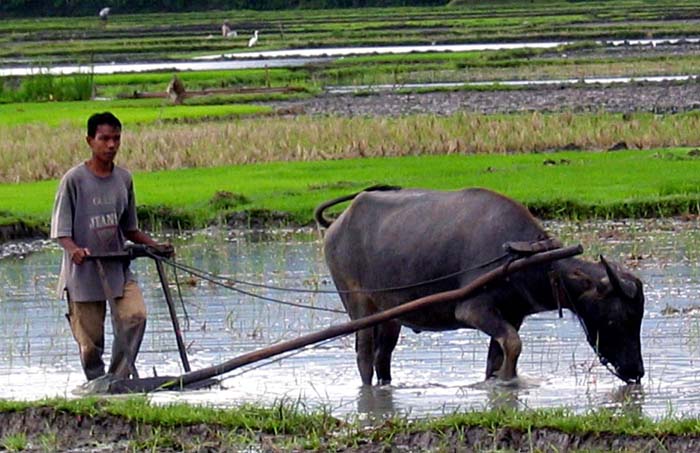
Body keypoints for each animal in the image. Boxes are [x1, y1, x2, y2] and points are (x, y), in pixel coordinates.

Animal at [318, 187, 644, 384]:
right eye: (620, 318)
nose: (637, 372)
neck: (527, 261)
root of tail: (337, 223)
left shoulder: (512, 315)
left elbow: (497, 357)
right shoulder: (472, 310)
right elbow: (513, 344)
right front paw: (507, 378)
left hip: (390, 316)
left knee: (382, 356)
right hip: (357, 304)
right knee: (364, 355)